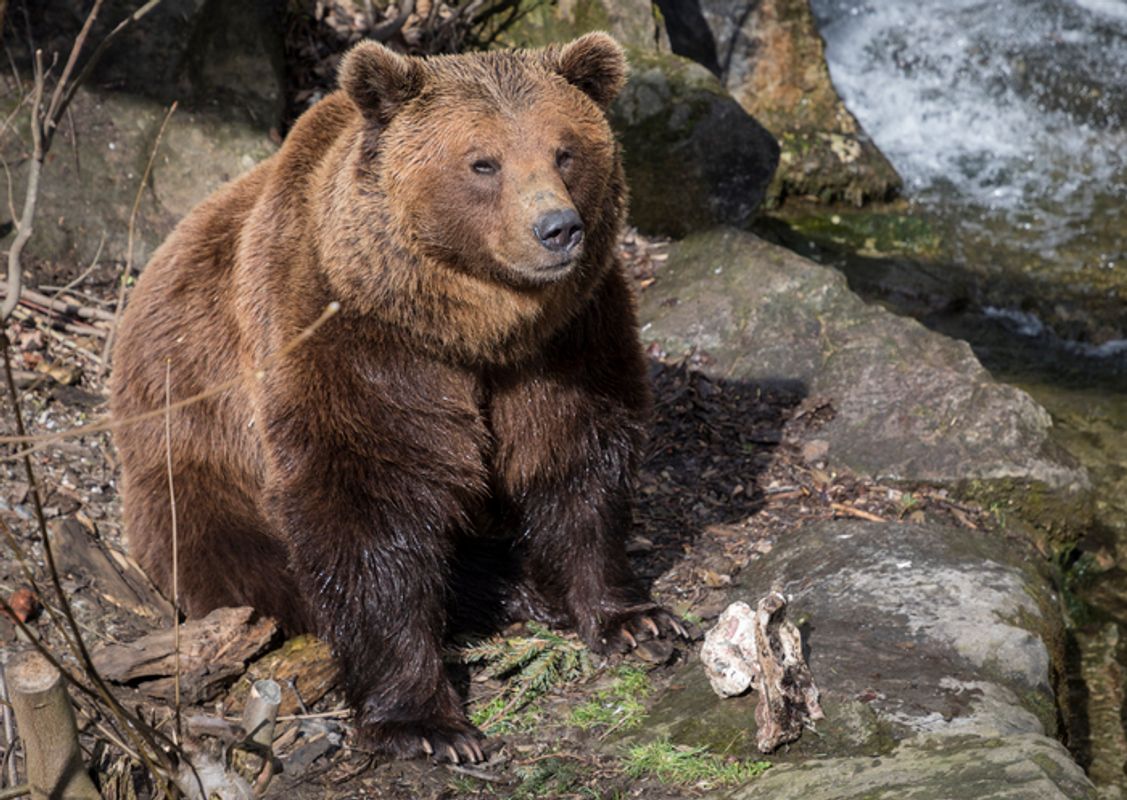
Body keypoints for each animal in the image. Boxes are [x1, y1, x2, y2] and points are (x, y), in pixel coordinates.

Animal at [110, 33, 686, 763]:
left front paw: (634, 619)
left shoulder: (568, 339)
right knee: (252, 561)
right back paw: (499, 589)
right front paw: (428, 723)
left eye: (566, 150)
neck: (470, 330)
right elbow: (367, 509)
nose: (557, 228)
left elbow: (576, 459)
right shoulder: (353, 342)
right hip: (196, 461)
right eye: (482, 161)